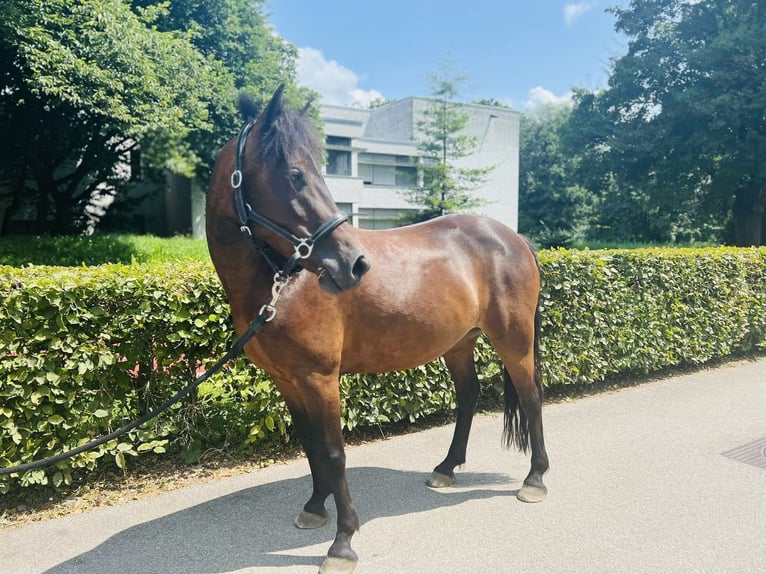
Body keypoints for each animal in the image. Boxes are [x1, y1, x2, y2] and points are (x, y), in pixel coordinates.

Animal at [207, 86, 548, 574]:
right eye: (294, 174)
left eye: (318, 170)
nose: (354, 265)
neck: (280, 285)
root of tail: (514, 237)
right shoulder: (288, 381)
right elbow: (311, 445)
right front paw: (315, 507)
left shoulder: (320, 379)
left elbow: (333, 452)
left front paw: (343, 541)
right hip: (459, 342)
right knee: (468, 395)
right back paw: (446, 468)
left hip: (514, 341)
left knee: (532, 397)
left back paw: (534, 478)